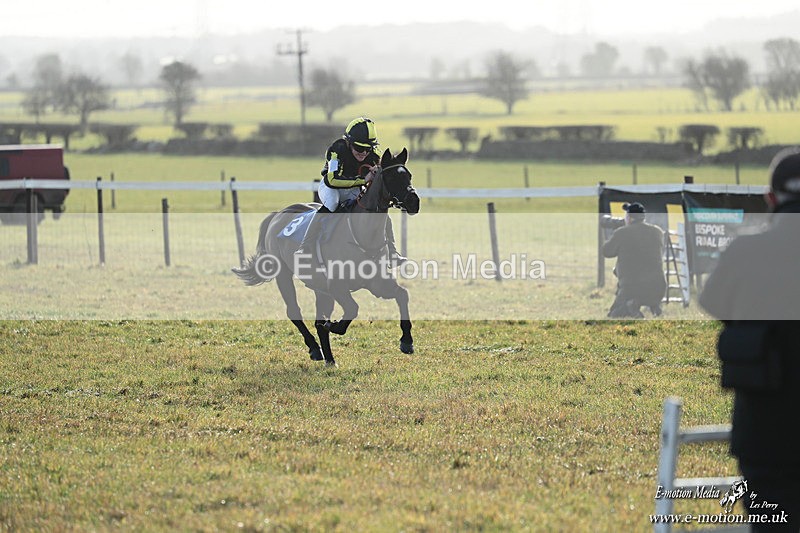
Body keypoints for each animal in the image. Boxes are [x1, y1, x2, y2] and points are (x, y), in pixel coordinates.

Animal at [232, 147, 420, 366]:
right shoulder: (336, 286)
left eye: (409, 175)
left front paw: (407, 341)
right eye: (391, 176)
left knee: (318, 318)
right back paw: (315, 349)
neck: (362, 236)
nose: (414, 202)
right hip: (284, 275)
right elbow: (352, 309)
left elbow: (402, 295)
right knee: (294, 311)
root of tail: (278, 214)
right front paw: (335, 326)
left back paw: (330, 359)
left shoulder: (377, 284)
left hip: (318, 286)